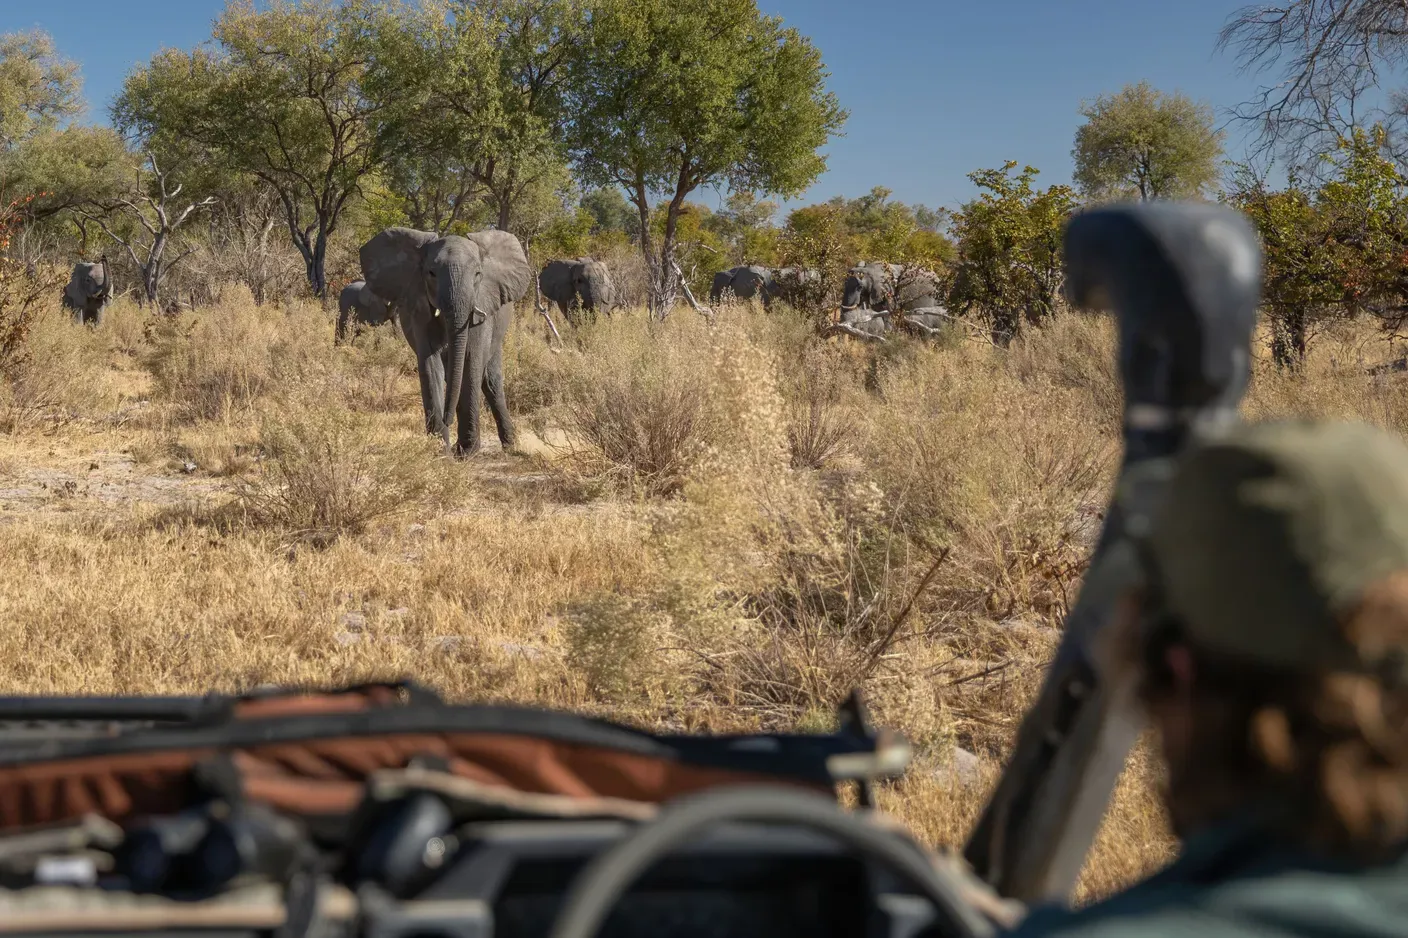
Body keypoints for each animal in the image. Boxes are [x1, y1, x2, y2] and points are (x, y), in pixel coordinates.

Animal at [360, 227, 531, 457]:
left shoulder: (481, 306)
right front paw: (440, 450)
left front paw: (467, 451)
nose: (447, 420)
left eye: (478, 274)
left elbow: (470, 361)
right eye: (431, 273)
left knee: (490, 381)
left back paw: (510, 445)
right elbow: (430, 365)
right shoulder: (419, 308)